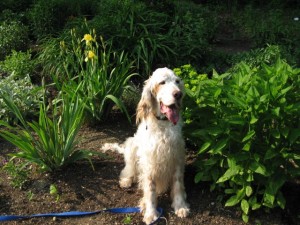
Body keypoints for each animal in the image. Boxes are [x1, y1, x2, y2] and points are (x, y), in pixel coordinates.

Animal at [102, 67, 189, 224]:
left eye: (177, 82)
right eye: (162, 82)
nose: (178, 94)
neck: (163, 125)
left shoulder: (177, 157)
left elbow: (178, 184)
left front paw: (181, 206)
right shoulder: (149, 163)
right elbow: (150, 190)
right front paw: (151, 213)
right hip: (132, 146)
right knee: (129, 170)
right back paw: (126, 181)